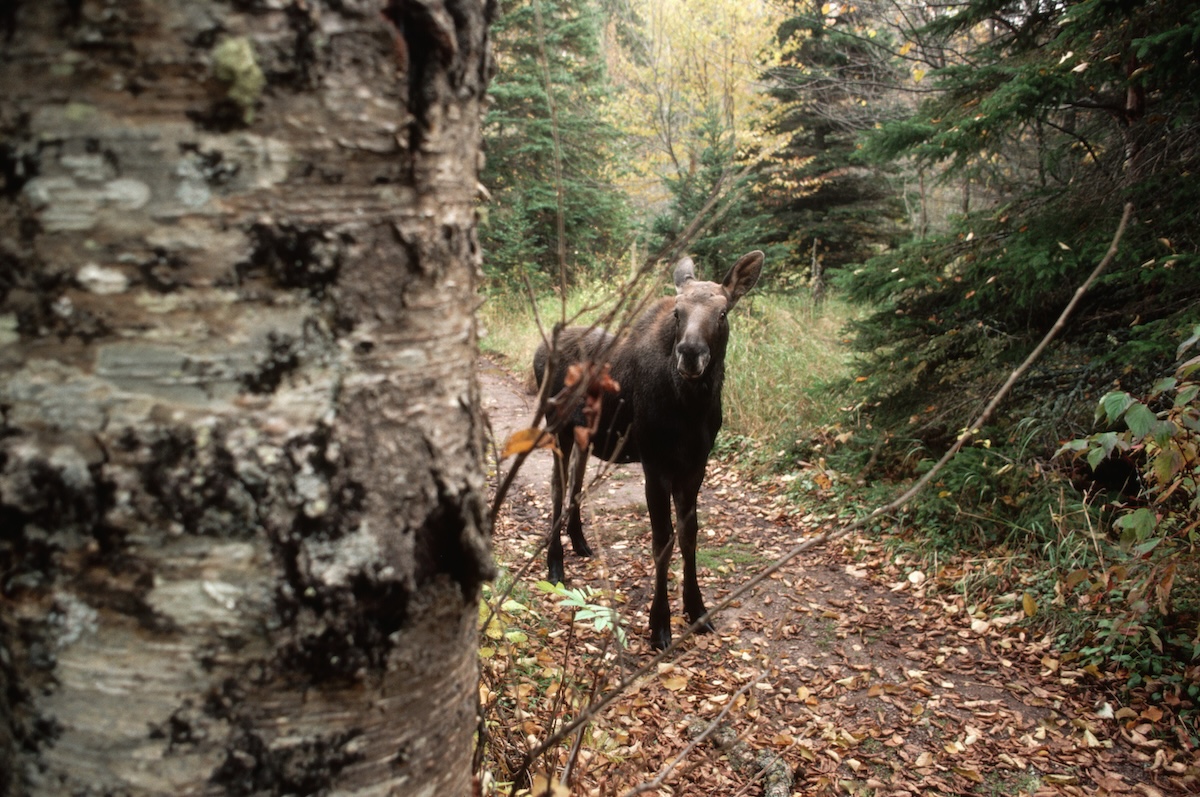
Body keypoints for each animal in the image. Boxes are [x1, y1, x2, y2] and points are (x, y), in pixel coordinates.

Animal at [533, 251, 763, 650]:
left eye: (723, 313)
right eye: (678, 313)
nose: (690, 353)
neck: (691, 409)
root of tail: (538, 351)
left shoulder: (696, 466)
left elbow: (689, 536)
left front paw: (697, 610)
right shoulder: (655, 465)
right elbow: (662, 543)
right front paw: (660, 625)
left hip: (583, 436)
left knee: (575, 483)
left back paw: (580, 542)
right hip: (557, 428)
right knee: (557, 487)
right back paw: (555, 563)